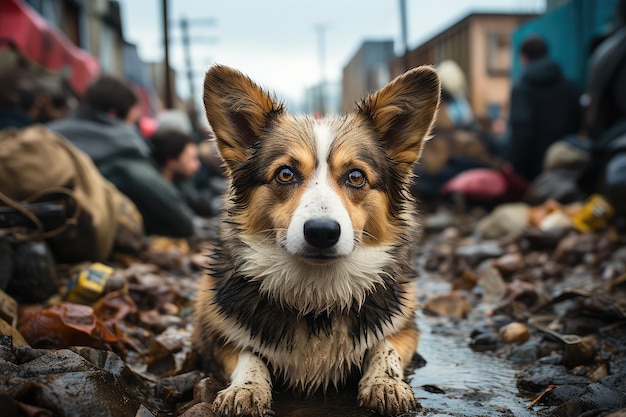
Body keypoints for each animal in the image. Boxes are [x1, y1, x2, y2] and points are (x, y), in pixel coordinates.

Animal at [191, 63, 438, 414]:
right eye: (285, 173)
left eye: (356, 176)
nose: (322, 232)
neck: (317, 298)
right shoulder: (212, 336)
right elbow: (248, 355)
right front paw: (246, 389)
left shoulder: (405, 329)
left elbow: (385, 346)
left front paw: (386, 384)